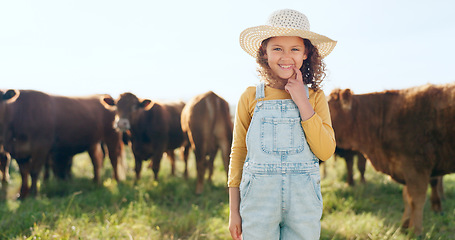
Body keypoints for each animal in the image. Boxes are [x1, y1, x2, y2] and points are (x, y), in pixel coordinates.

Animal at [330, 82, 455, 234]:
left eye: (328, 105)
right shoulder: (405, 168)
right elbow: (407, 198)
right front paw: (404, 225)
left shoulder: (417, 167)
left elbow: (416, 199)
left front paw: (415, 231)